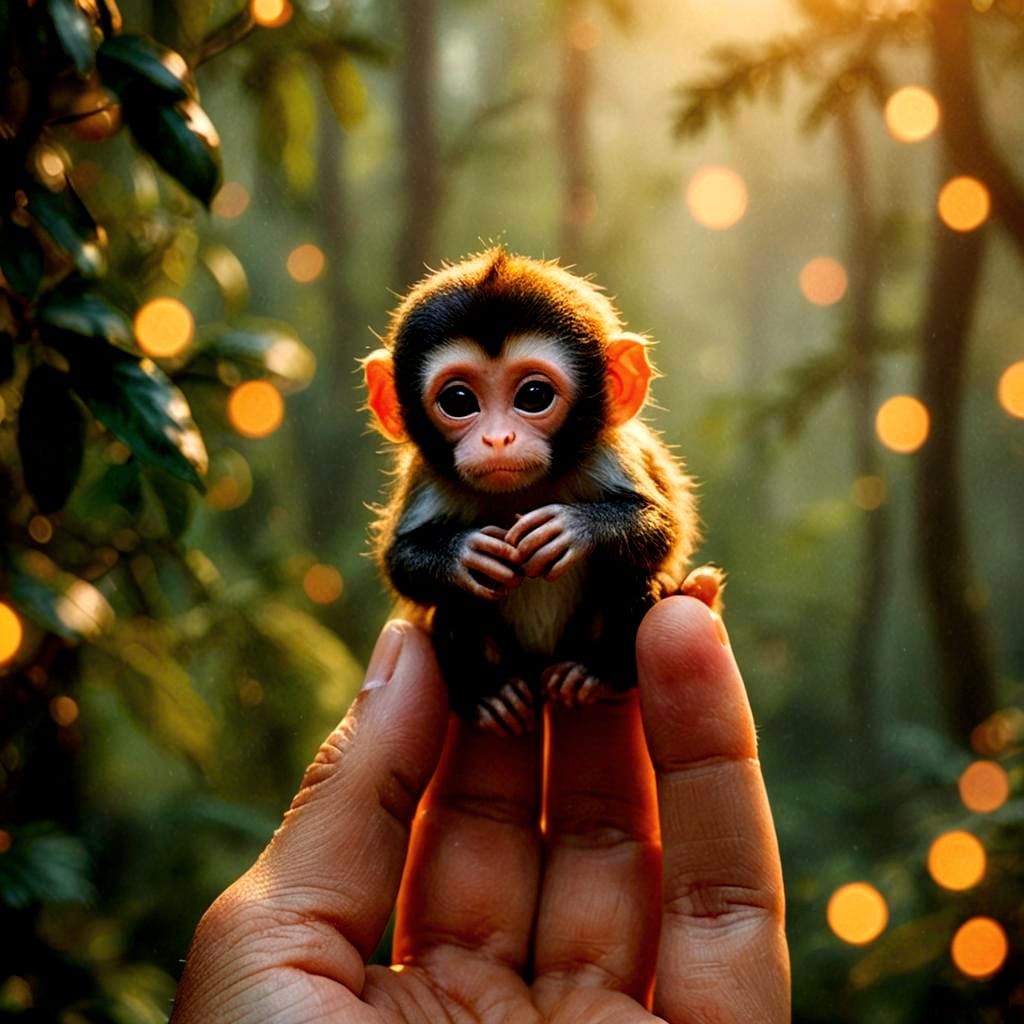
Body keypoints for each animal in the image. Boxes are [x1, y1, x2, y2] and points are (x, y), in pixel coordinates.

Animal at [363, 247, 722, 736]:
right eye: (458, 401)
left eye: (533, 395)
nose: (498, 439)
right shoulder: (428, 477)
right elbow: (400, 562)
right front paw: (463, 554)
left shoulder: (608, 453)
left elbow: (661, 532)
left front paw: (574, 529)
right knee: (455, 600)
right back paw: (491, 694)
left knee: (629, 575)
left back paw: (593, 674)